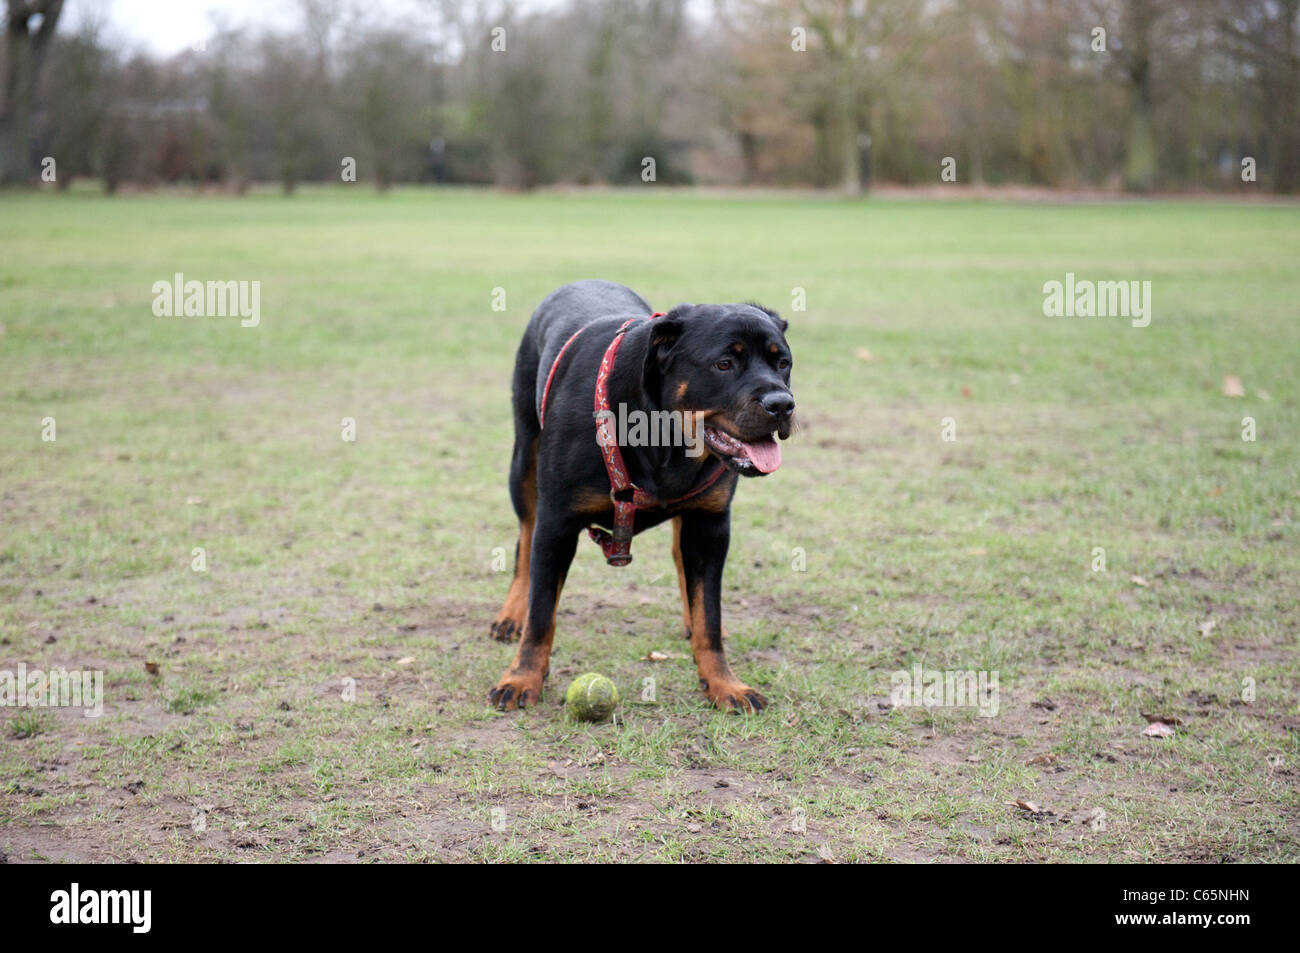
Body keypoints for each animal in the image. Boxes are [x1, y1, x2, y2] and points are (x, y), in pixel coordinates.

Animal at [488, 282, 790, 712]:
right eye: (723, 364)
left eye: (782, 363)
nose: (782, 404)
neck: (660, 436)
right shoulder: (556, 522)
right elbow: (542, 613)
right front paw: (521, 677)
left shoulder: (710, 524)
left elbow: (709, 616)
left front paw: (723, 682)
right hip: (524, 462)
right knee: (524, 540)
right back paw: (513, 613)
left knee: (681, 558)